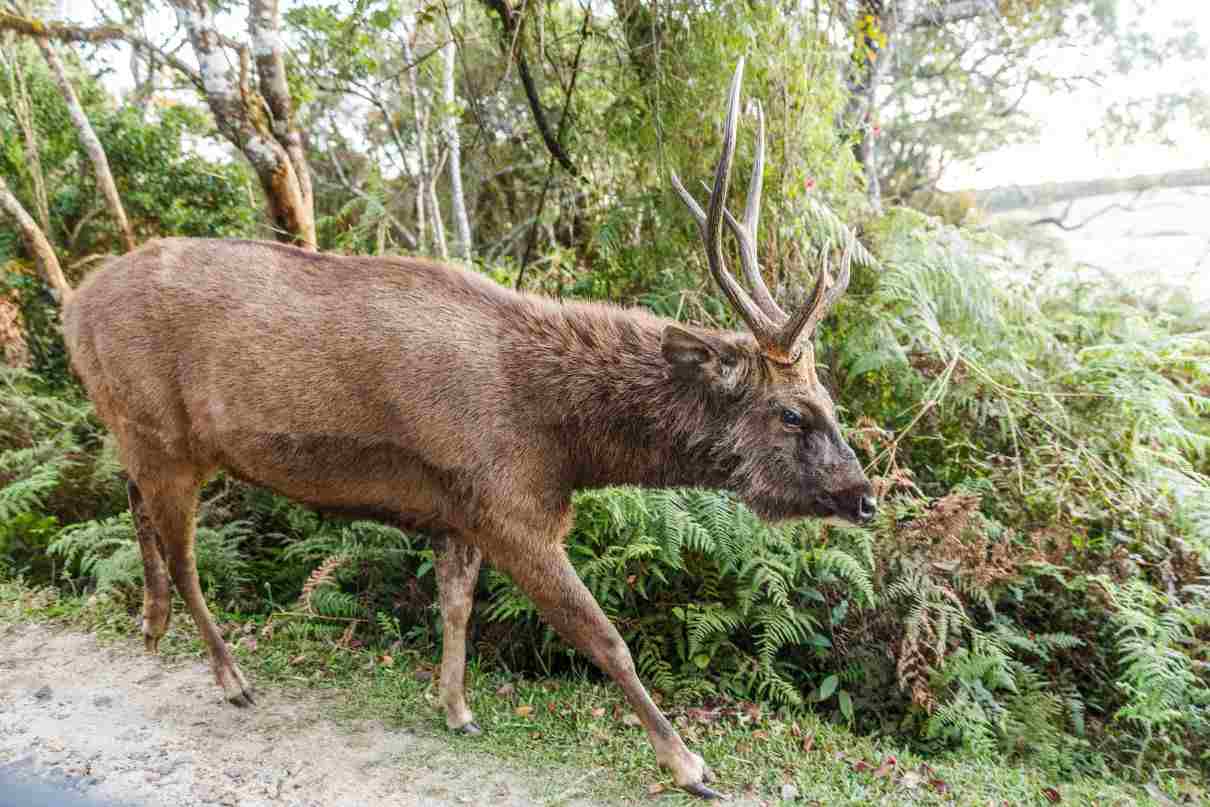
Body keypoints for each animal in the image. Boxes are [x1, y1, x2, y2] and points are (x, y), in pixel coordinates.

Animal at [61, 59, 876, 798]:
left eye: (829, 398)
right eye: (792, 412)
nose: (864, 496)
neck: (563, 445)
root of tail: (71, 306)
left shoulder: (459, 507)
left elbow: (455, 608)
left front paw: (455, 707)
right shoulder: (513, 512)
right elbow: (605, 638)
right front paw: (689, 764)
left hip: (140, 434)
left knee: (132, 505)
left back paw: (151, 627)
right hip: (164, 435)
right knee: (184, 552)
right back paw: (229, 675)